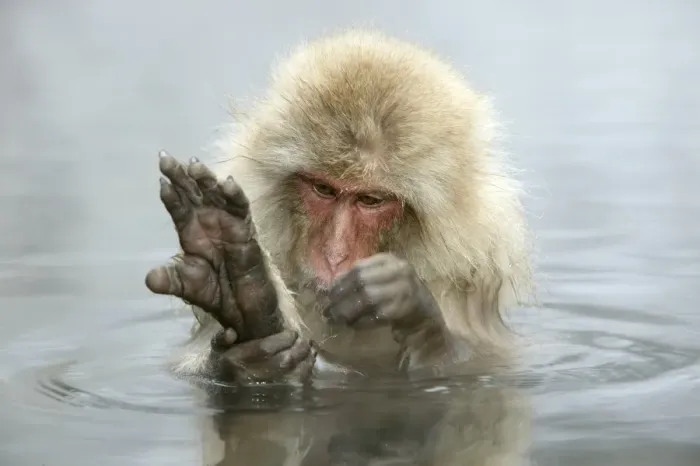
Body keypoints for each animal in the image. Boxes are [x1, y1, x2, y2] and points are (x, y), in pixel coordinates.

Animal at [145, 29, 533, 384]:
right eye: (324, 189)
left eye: (370, 200)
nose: (334, 255)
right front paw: (254, 339)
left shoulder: (473, 278)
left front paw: (415, 312)